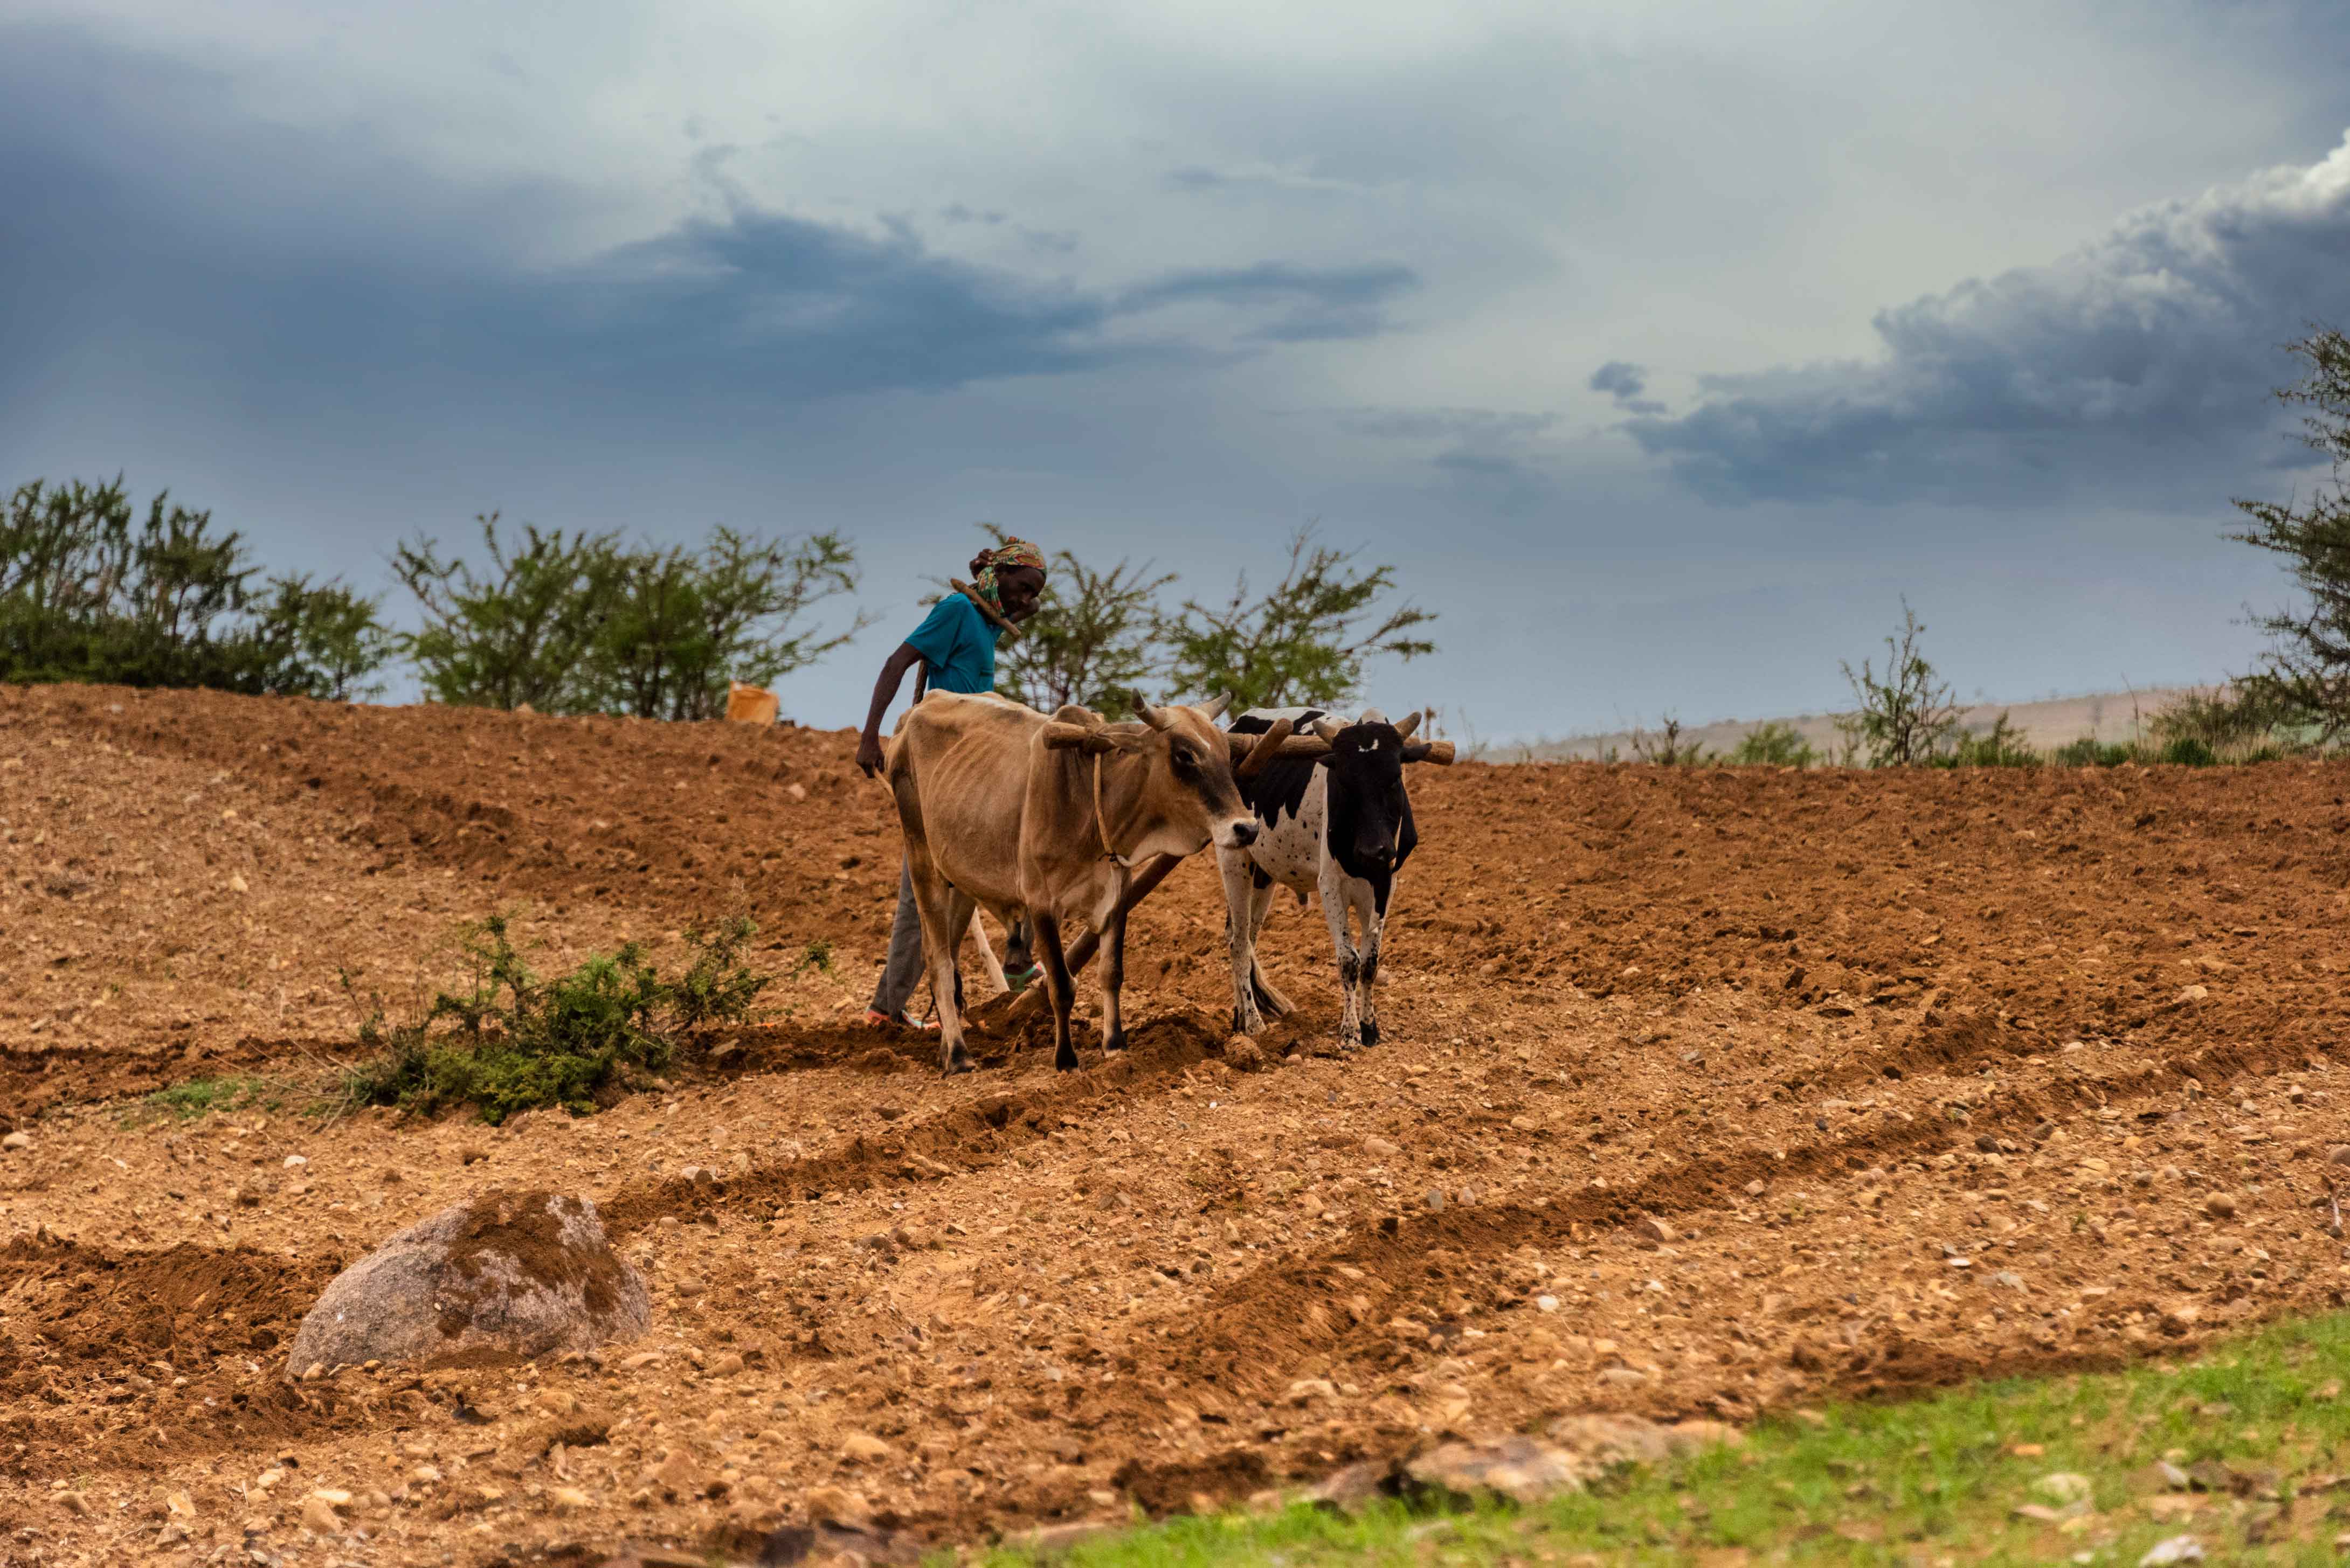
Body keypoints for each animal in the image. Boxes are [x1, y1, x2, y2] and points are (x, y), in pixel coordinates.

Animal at [885, 690, 1324, 1075]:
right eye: (1184, 755)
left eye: (1225, 752)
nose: (1246, 828)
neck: (1090, 801)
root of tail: (914, 713)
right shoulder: (1041, 904)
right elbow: (1061, 985)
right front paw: (1066, 1060)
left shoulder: (1117, 895)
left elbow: (1112, 973)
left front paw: (1115, 1046)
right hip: (921, 858)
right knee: (938, 960)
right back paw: (959, 1056)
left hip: (959, 878)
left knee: (944, 950)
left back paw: (946, 1049)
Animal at [1217, 707, 1452, 1046]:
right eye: (1344, 781)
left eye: (1395, 778)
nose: (1372, 851)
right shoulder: (1330, 886)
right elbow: (1349, 961)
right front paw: (1350, 1033)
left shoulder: (1385, 884)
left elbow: (1370, 962)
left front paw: (1370, 1028)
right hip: (1234, 862)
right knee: (1237, 944)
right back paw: (1253, 1024)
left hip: (1264, 875)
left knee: (1247, 939)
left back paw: (1239, 1018)